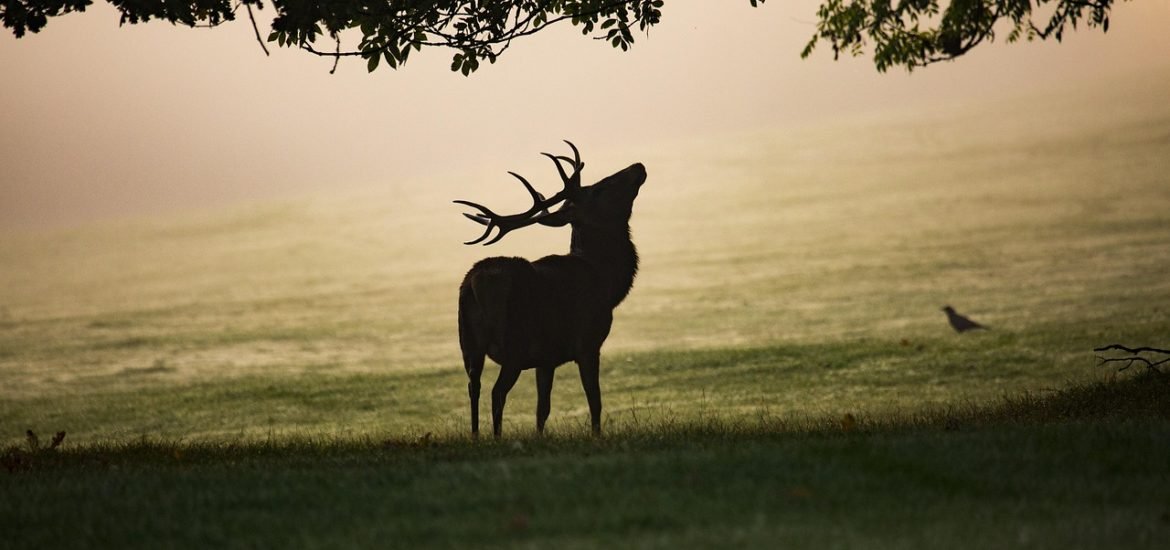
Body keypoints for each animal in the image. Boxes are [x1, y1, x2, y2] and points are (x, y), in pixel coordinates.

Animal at [455, 141, 646, 437]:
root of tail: (474, 283)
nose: (638, 166)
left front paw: (539, 437)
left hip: (468, 342)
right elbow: (595, 400)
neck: (606, 282)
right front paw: (596, 436)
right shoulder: (588, 342)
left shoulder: (546, 358)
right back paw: (496, 438)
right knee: (497, 393)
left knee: (473, 387)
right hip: (514, 342)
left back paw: (476, 437)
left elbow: (542, 409)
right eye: (599, 189)